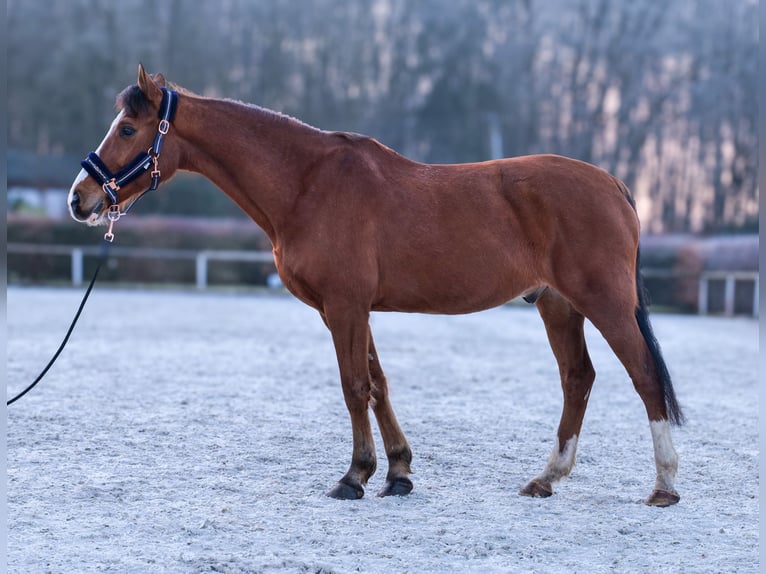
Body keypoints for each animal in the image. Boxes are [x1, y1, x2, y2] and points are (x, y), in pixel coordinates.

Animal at [69, 65, 688, 508]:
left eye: (127, 128)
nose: (80, 198)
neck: (307, 183)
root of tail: (612, 184)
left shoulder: (344, 307)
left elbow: (353, 387)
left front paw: (355, 475)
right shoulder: (351, 309)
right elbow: (378, 384)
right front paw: (398, 471)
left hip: (605, 302)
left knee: (643, 375)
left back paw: (664, 486)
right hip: (558, 306)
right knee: (577, 379)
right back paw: (546, 477)